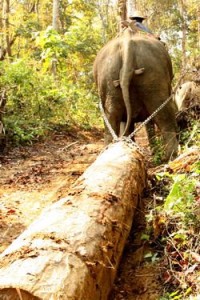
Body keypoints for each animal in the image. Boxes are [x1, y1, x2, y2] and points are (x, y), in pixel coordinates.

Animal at [93, 26, 178, 162]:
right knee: (164, 115)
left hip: (108, 78)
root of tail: (127, 42)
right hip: (153, 74)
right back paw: (171, 157)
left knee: (111, 118)